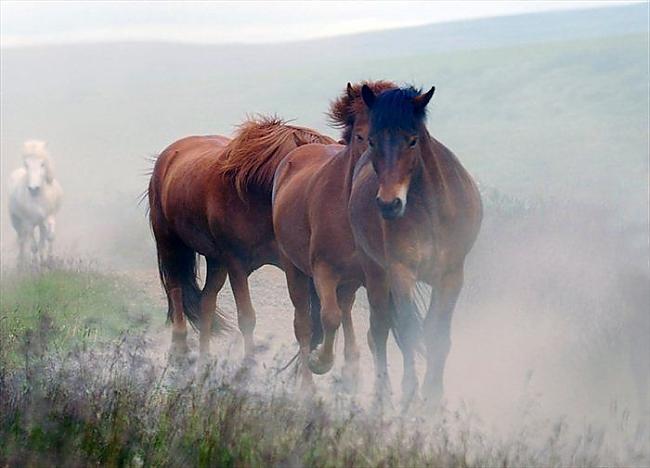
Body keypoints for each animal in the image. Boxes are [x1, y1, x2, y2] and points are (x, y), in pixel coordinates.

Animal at [148, 117, 334, 358]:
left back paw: (203, 359)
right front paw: (249, 361)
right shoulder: (236, 263)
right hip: (169, 243)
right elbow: (247, 317)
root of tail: (167, 156)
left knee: (206, 302)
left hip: (216, 260)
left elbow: (308, 321)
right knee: (176, 290)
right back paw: (179, 348)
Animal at [272, 80, 398, 388]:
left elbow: (376, 329)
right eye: (361, 136)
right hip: (294, 269)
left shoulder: (376, 276)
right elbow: (329, 318)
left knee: (347, 311)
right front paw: (320, 363)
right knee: (304, 324)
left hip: (350, 280)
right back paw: (307, 385)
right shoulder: (324, 269)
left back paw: (351, 371)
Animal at [350, 85, 480, 406]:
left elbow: (438, 334)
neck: (433, 211)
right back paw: (382, 394)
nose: (389, 204)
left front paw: (433, 397)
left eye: (412, 140)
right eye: (373, 141)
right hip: (376, 275)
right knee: (379, 329)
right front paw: (410, 393)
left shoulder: (451, 276)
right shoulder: (401, 273)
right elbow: (408, 331)